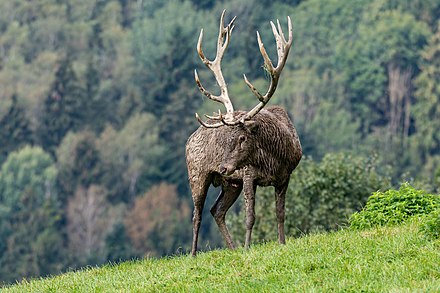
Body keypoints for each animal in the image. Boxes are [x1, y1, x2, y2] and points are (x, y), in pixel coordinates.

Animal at [186, 10, 302, 254]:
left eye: (241, 137)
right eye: (227, 138)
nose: (223, 167)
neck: (274, 158)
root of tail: (190, 139)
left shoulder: (285, 176)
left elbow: (280, 213)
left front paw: (282, 243)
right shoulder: (249, 175)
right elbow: (250, 216)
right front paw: (249, 247)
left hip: (231, 183)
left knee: (216, 211)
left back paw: (232, 248)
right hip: (197, 174)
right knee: (197, 214)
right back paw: (193, 254)